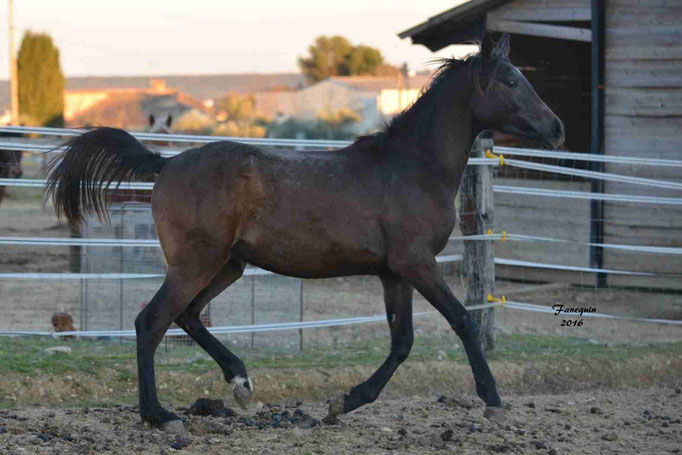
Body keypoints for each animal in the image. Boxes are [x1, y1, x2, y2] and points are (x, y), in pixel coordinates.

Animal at [43, 35, 564, 432]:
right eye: (512, 81)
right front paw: (493, 400)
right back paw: (161, 415)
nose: (557, 129)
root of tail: (166, 163)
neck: (412, 167)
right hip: (196, 263)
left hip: (228, 265)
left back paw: (240, 384)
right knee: (151, 322)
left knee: (187, 317)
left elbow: (402, 342)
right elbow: (462, 321)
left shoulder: (393, 273)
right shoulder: (418, 264)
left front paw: (344, 402)